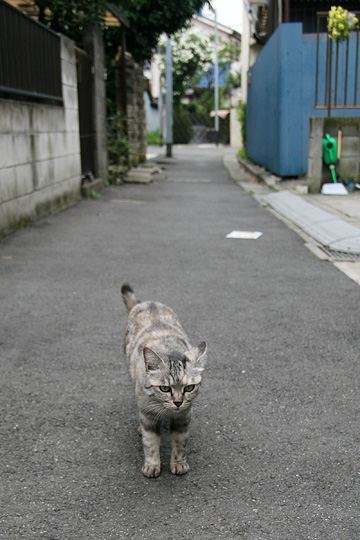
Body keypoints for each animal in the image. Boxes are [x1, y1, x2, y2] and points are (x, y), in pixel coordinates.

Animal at [121, 282, 207, 476]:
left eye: (189, 388)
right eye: (164, 388)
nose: (178, 402)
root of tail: (147, 302)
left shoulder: (184, 416)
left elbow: (180, 442)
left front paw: (179, 463)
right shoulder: (147, 413)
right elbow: (150, 442)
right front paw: (152, 465)